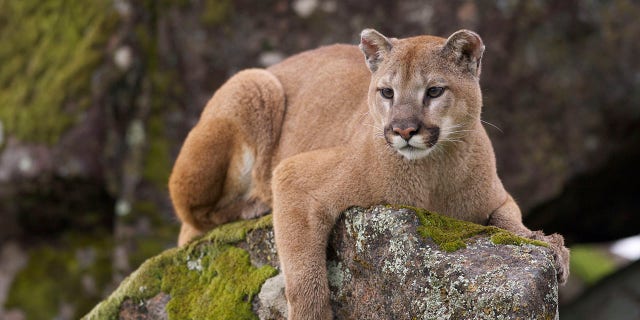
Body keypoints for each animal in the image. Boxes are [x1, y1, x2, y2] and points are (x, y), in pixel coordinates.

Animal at [169, 28, 568, 318]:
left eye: (434, 91)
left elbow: (511, 221)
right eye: (387, 92)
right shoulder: (293, 176)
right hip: (253, 84)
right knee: (191, 221)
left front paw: (549, 245)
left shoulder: (496, 196)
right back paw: (253, 206)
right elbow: (304, 277)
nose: (403, 130)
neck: (433, 173)